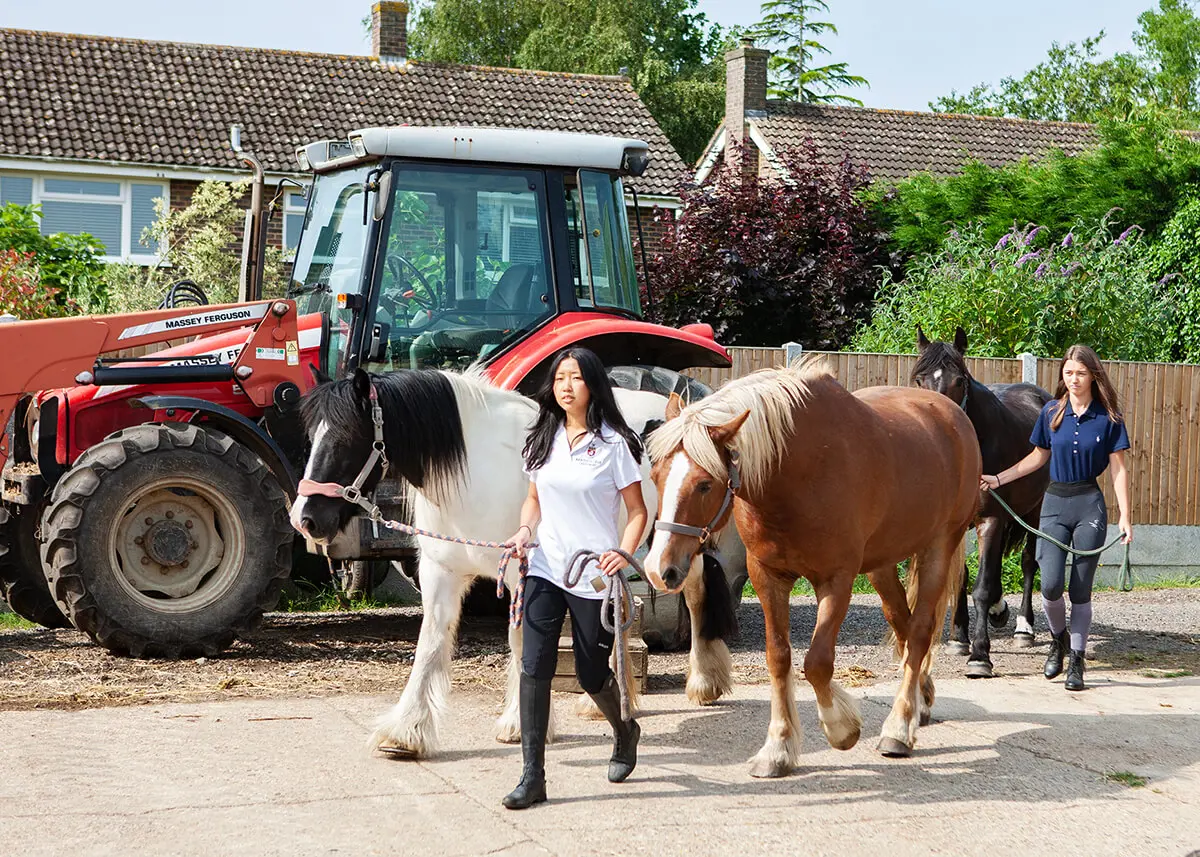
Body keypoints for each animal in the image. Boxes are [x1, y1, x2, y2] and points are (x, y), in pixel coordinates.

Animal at [290, 367, 739, 753]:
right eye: (310, 435)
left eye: (349, 437)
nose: (304, 519)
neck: (477, 471)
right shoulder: (442, 571)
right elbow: (430, 643)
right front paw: (406, 731)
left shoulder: (523, 574)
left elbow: (522, 643)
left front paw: (518, 723)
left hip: (673, 542)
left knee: (695, 593)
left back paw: (704, 682)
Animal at [643, 364, 979, 772]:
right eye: (656, 475)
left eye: (705, 483)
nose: (659, 569)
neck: (800, 472)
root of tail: (951, 414)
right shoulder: (768, 577)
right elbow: (779, 657)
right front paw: (777, 747)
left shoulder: (836, 581)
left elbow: (817, 663)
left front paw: (841, 728)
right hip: (880, 564)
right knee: (900, 619)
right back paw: (920, 701)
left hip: (939, 546)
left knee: (918, 632)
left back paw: (899, 727)